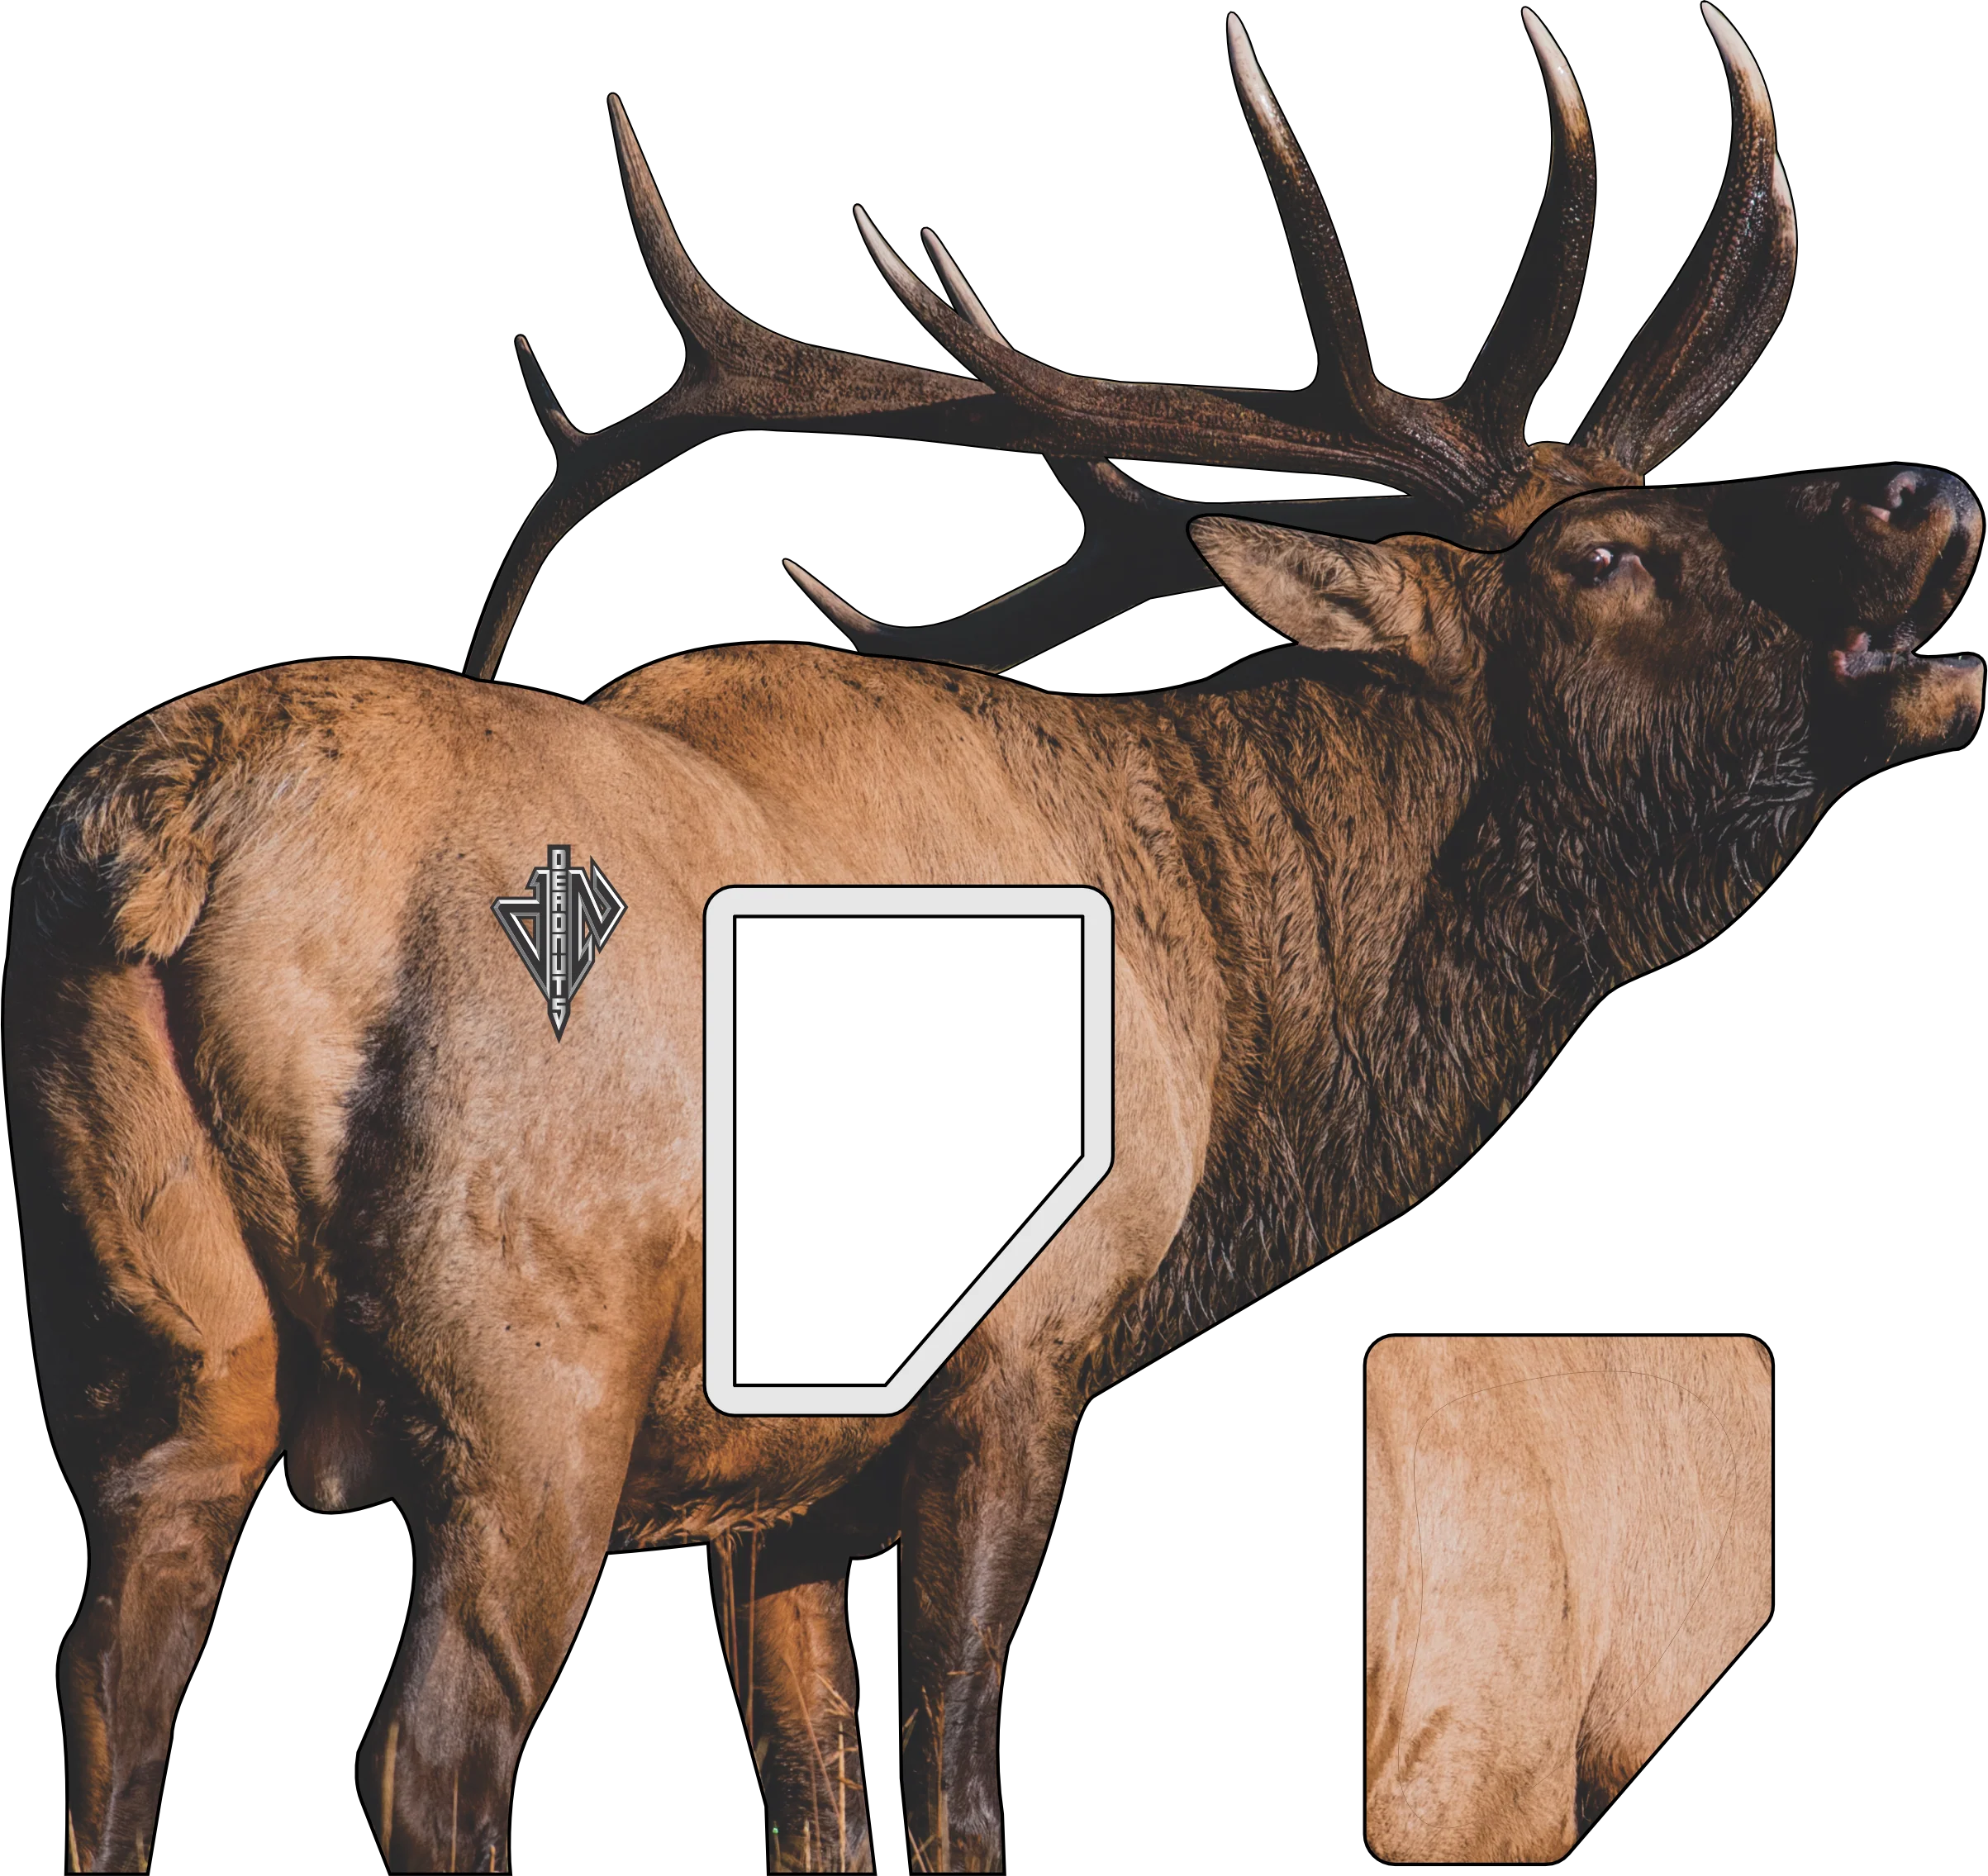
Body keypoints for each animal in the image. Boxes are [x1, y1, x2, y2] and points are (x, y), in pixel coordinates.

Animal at [5, 5, 1979, 1870]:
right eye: (1602, 555)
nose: (1930, 489)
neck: (1228, 1014)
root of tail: (165, 849)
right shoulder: (1015, 1370)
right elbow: (962, 1784)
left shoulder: (777, 1481)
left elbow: (814, 1801)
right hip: (525, 1379)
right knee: (428, 1750)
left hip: (144, 1359)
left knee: (107, 1686)